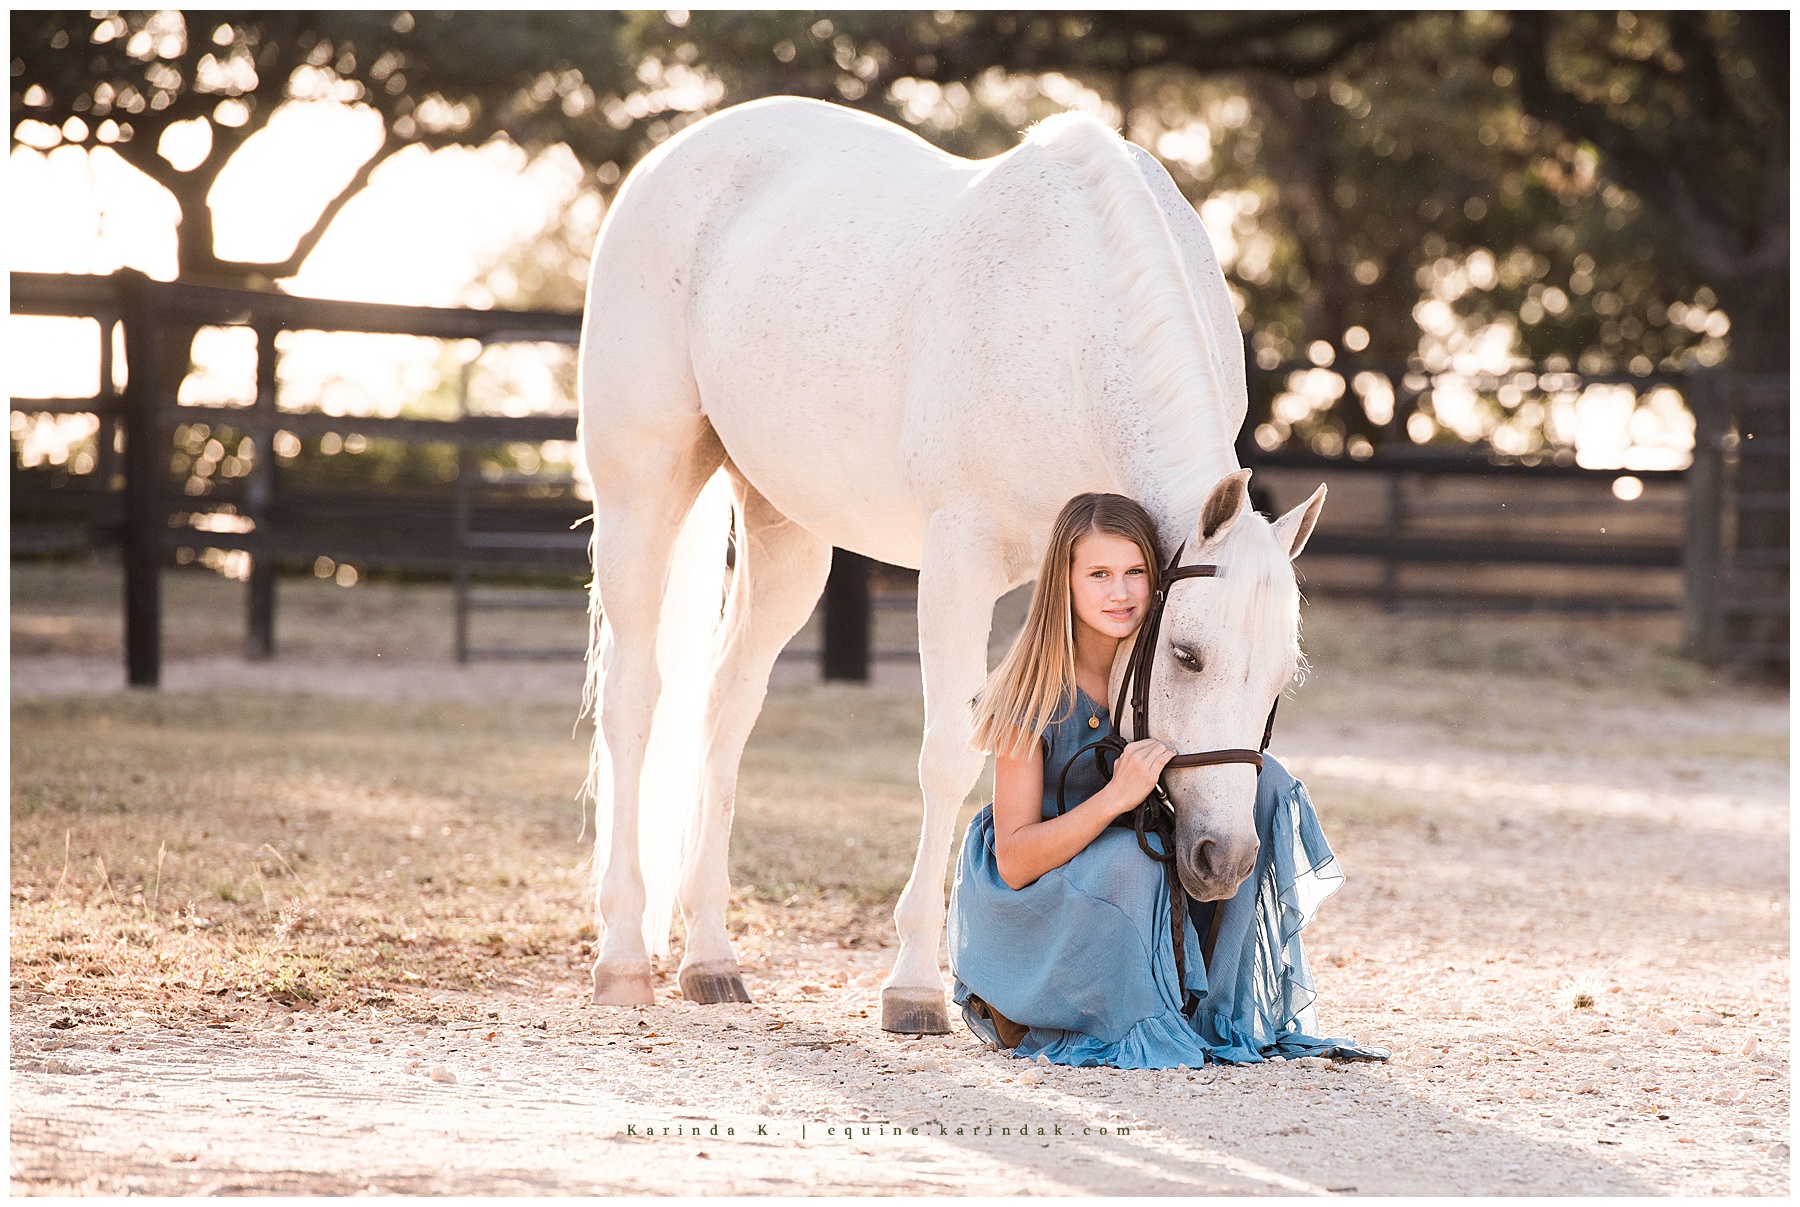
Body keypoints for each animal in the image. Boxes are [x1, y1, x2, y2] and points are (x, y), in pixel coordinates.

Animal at [577, 96, 1327, 1034]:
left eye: (1281, 678)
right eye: (1188, 656)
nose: (1222, 858)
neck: (1073, 320)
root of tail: (673, 157)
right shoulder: (958, 560)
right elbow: (948, 754)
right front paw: (912, 985)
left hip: (785, 530)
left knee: (725, 708)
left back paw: (711, 957)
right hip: (641, 490)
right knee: (633, 700)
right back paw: (622, 954)